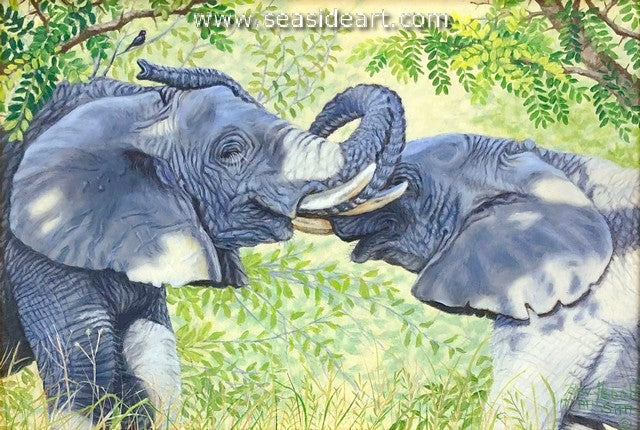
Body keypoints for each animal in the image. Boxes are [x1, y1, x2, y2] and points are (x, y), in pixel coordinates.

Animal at [0, 60, 406, 428]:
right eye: (230, 153)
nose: (145, 67)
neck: (129, 107)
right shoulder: (31, 253)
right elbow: (86, 364)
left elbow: (155, 366)